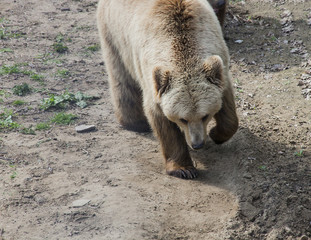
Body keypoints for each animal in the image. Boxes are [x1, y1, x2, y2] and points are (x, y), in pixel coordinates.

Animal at [97, 0, 239, 178]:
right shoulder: (152, 79)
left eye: (205, 115)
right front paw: (183, 169)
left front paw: (216, 134)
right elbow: (163, 123)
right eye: (182, 119)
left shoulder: (219, 65)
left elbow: (227, 109)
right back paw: (135, 122)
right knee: (121, 77)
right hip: (115, 34)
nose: (197, 144)